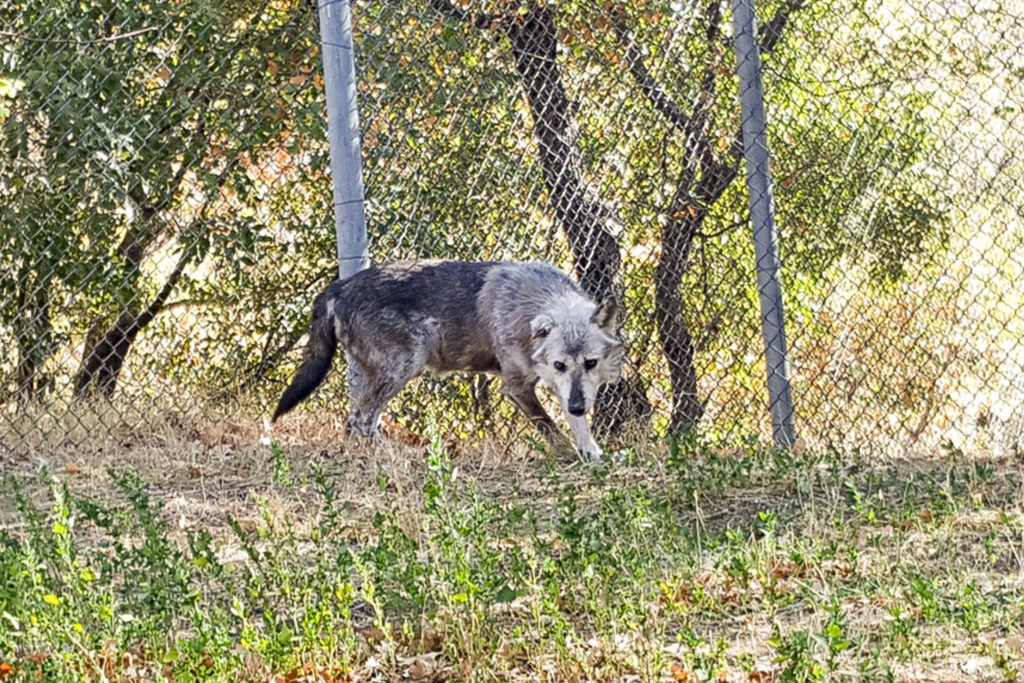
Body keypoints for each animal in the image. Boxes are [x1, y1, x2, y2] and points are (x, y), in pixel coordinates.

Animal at [272, 259, 622, 462]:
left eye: (590, 363)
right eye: (560, 364)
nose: (578, 405)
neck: (533, 300)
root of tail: (338, 286)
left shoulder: (565, 389)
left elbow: (575, 425)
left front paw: (591, 451)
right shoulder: (517, 388)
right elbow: (551, 429)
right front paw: (571, 454)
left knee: (357, 422)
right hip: (404, 366)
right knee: (360, 421)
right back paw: (394, 456)